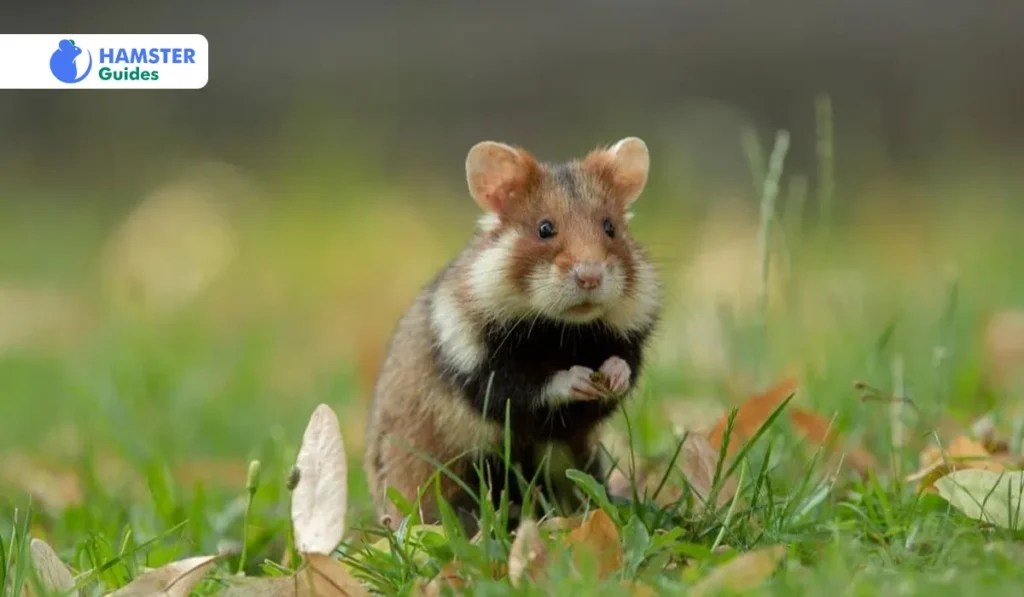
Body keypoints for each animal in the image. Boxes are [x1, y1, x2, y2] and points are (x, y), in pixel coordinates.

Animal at [364, 137, 661, 530]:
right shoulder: (478, 366)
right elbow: (526, 388)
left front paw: (612, 375)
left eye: (610, 227)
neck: (563, 330)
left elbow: (624, 366)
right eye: (545, 228)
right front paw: (579, 379)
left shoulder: (626, 341)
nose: (590, 277)